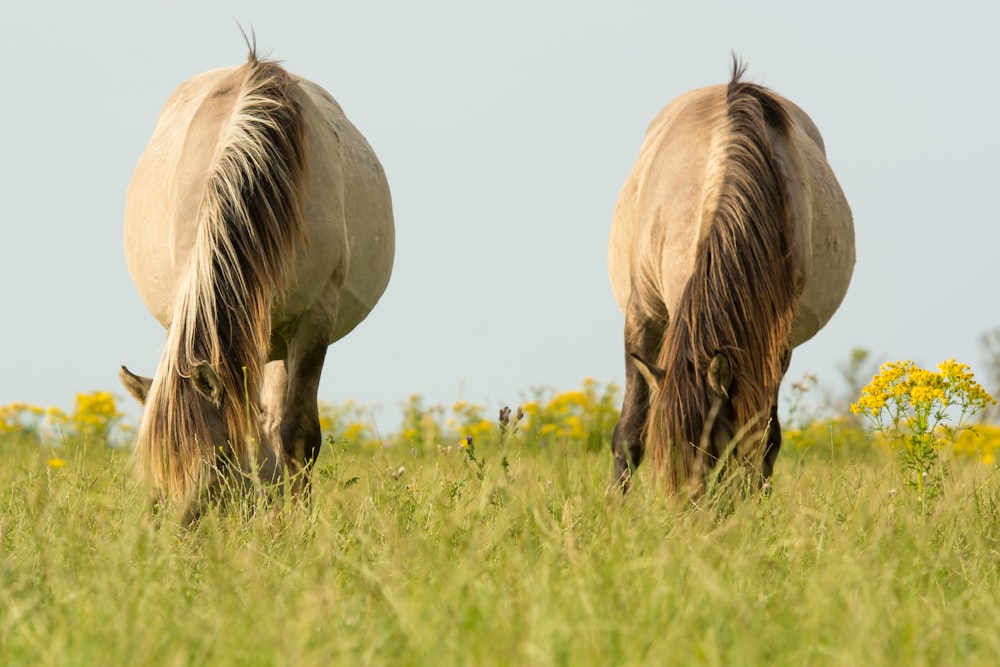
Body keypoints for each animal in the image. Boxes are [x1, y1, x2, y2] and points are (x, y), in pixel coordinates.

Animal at [119, 51, 392, 520]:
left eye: (217, 463)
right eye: (158, 475)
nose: (175, 532)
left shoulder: (314, 319)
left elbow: (297, 434)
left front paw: (293, 523)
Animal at [608, 62, 852, 498]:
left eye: (715, 448)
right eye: (664, 452)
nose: (691, 509)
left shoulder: (772, 340)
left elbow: (761, 439)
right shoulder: (643, 315)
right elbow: (629, 431)